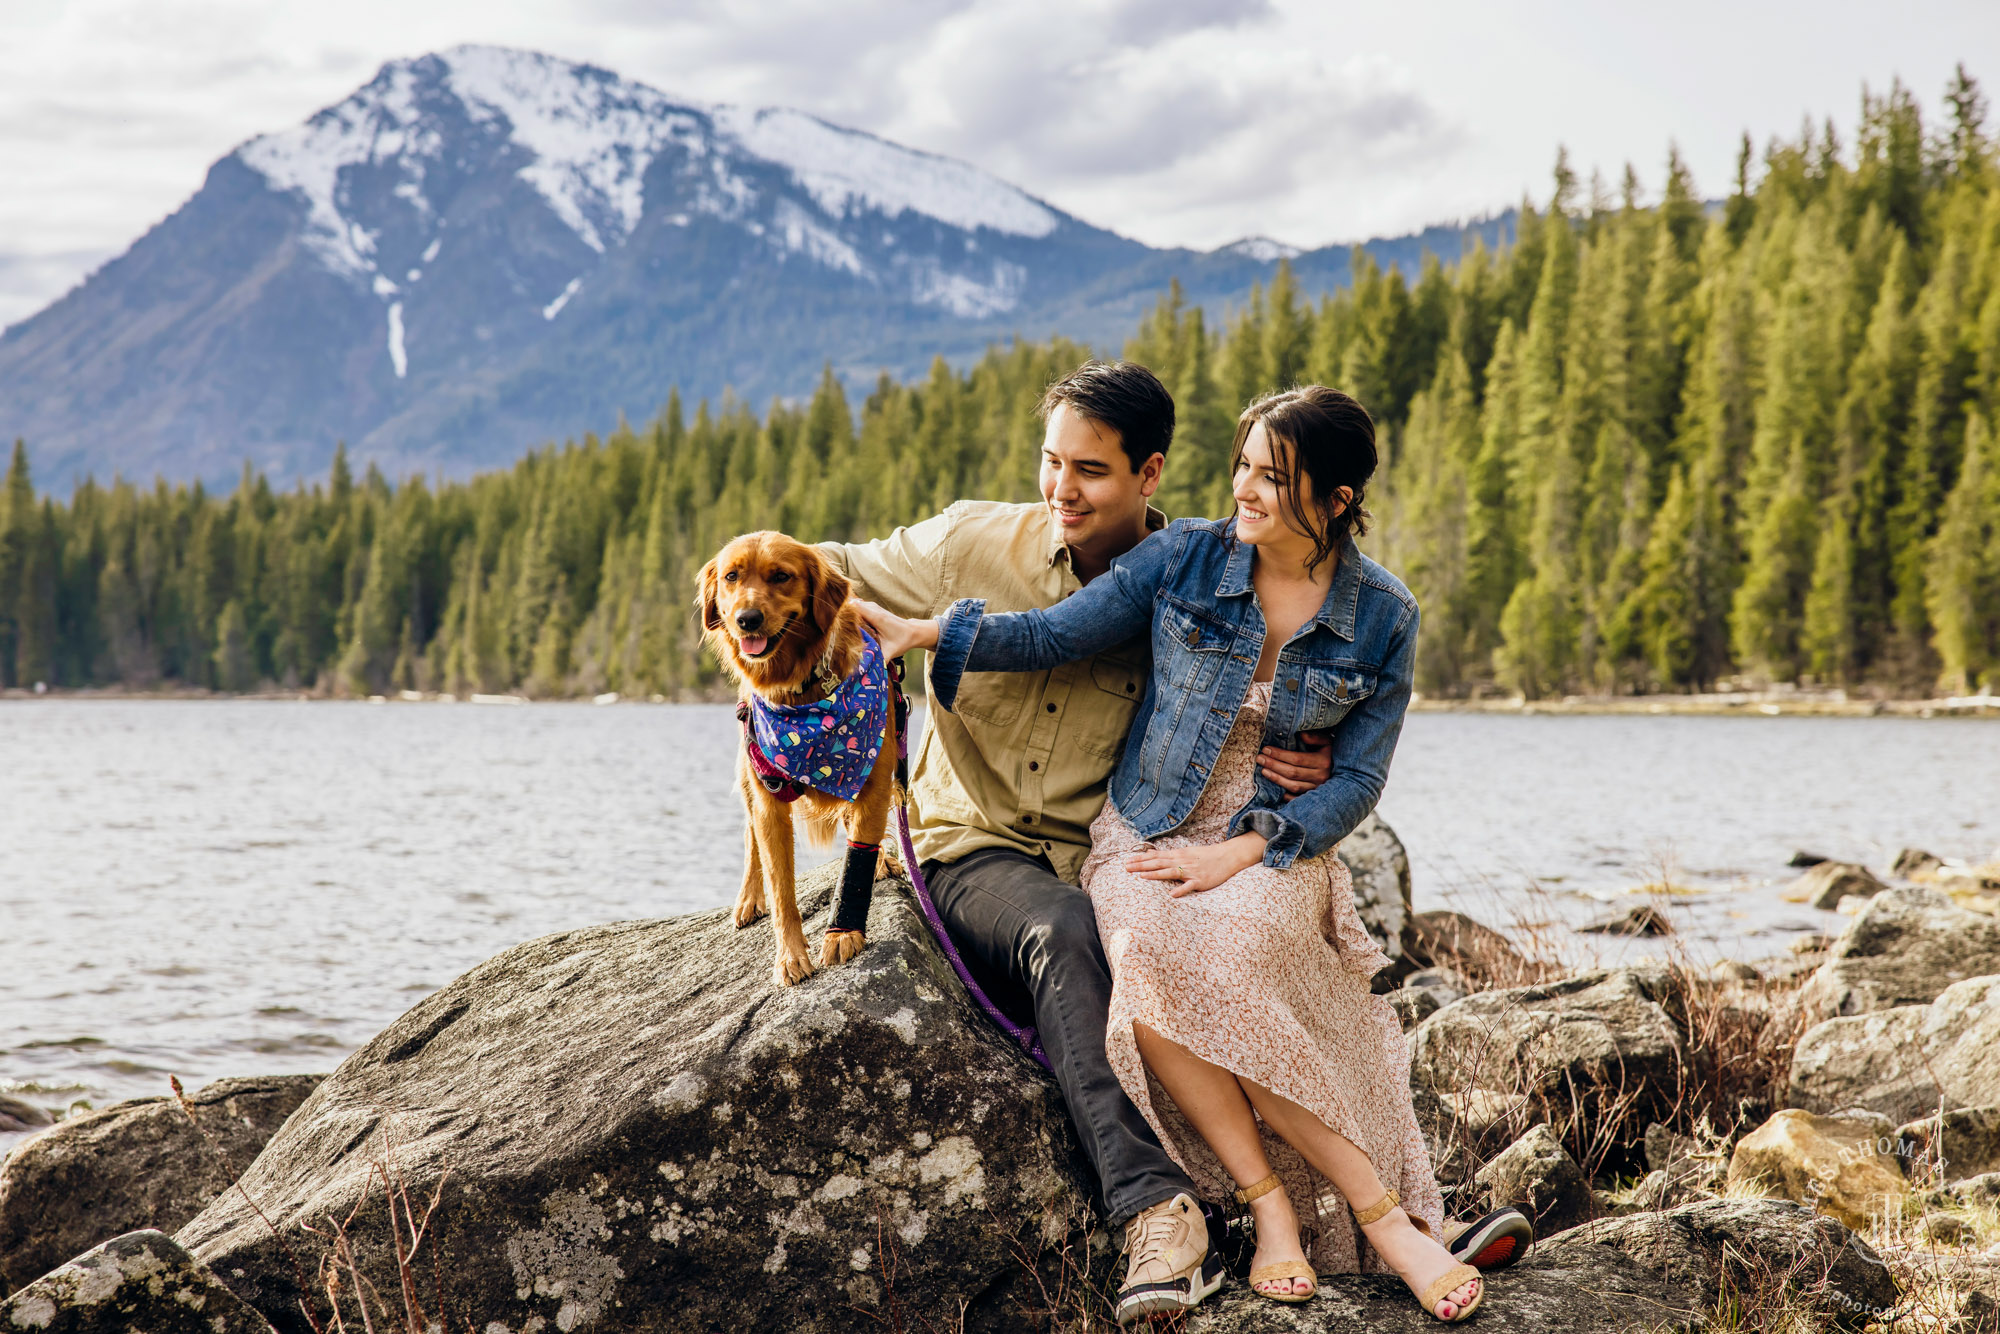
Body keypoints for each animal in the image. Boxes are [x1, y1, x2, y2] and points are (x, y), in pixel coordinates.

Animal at [696, 536, 900, 992]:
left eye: (781, 576)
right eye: (732, 576)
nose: (747, 619)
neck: (802, 690)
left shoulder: (874, 776)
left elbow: (859, 849)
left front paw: (843, 932)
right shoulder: (769, 798)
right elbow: (781, 887)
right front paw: (790, 957)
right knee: (750, 836)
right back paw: (749, 897)